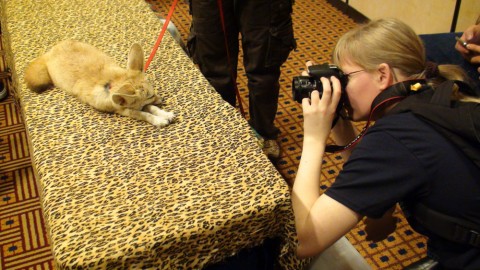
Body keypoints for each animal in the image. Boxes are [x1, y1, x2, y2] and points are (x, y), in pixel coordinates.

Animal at [24, 39, 174, 127]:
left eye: (154, 92)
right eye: (150, 95)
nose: (162, 99)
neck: (111, 83)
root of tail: (49, 53)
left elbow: (152, 108)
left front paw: (165, 114)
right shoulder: (122, 110)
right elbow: (144, 114)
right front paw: (159, 120)